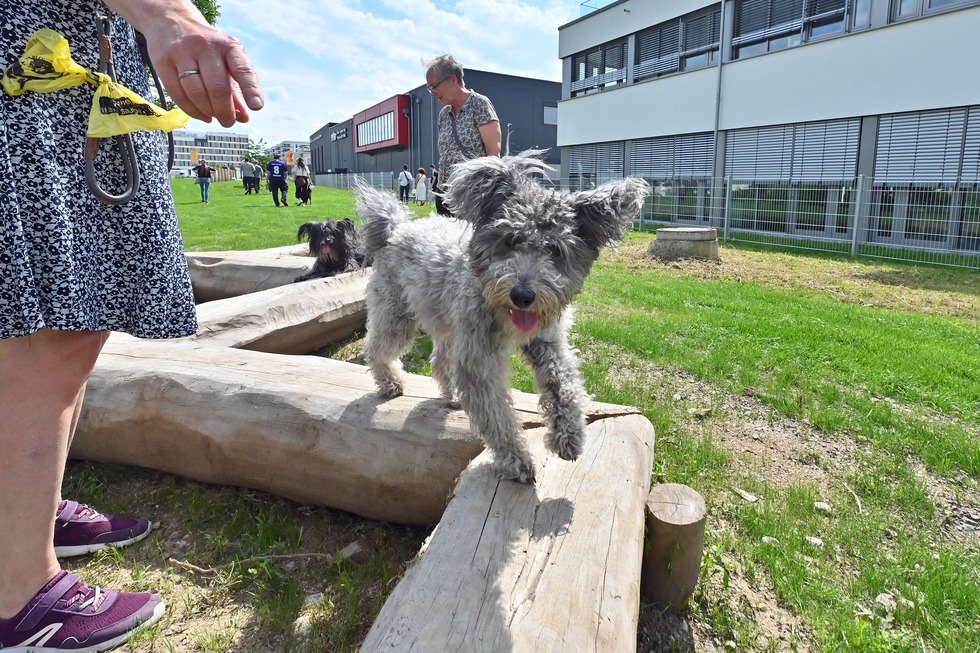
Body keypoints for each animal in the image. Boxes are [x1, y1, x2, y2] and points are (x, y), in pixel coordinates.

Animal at [354, 150, 652, 482]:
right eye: (510, 240)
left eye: (555, 250)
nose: (522, 296)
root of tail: (395, 228)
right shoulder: (479, 357)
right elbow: (495, 414)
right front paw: (516, 459)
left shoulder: (546, 339)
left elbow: (564, 381)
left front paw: (569, 435)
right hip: (398, 314)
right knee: (378, 347)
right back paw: (389, 382)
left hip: (449, 323)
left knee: (440, 360)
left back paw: (451, 393)